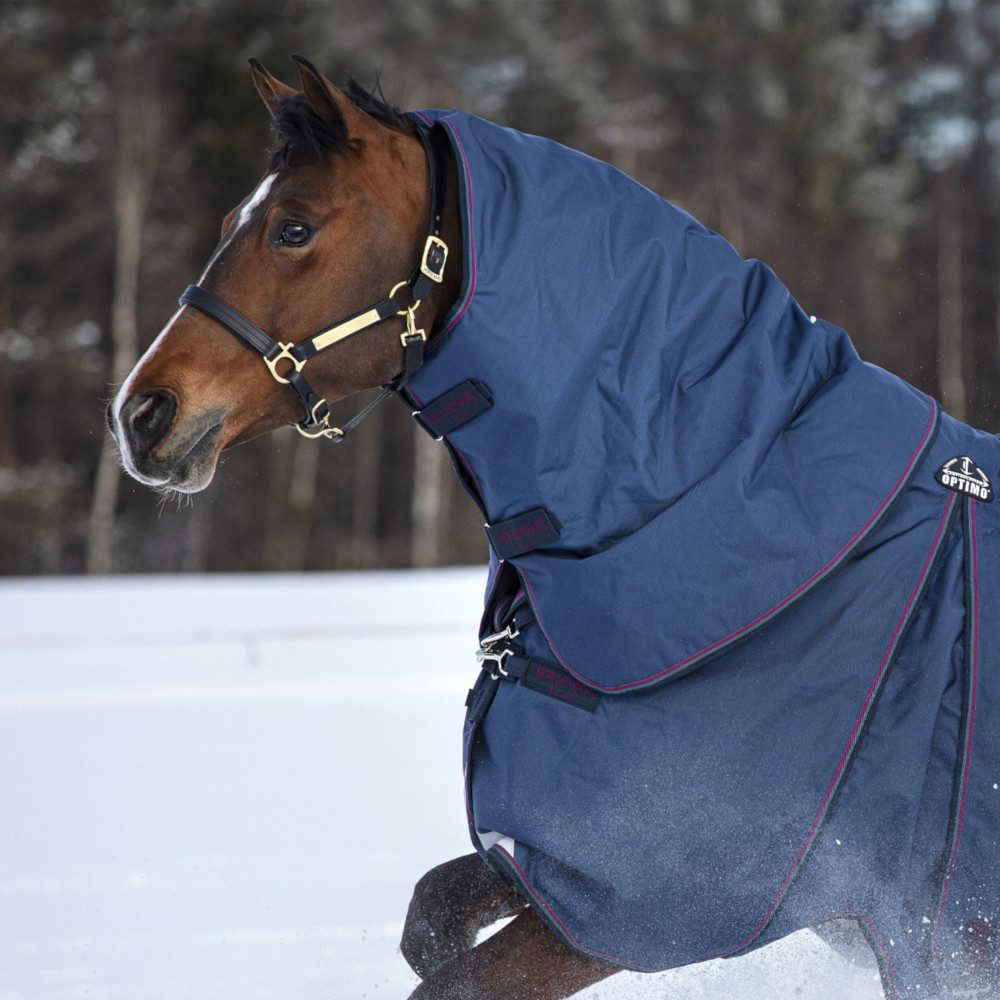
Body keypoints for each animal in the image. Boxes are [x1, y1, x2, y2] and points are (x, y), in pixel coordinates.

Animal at [108, 57, 1000, 1000]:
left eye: (293, 228)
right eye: (233, 222)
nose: (142, 415)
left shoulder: (646, 901)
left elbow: (449, 977)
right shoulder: (564, 869)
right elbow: (430, 920)